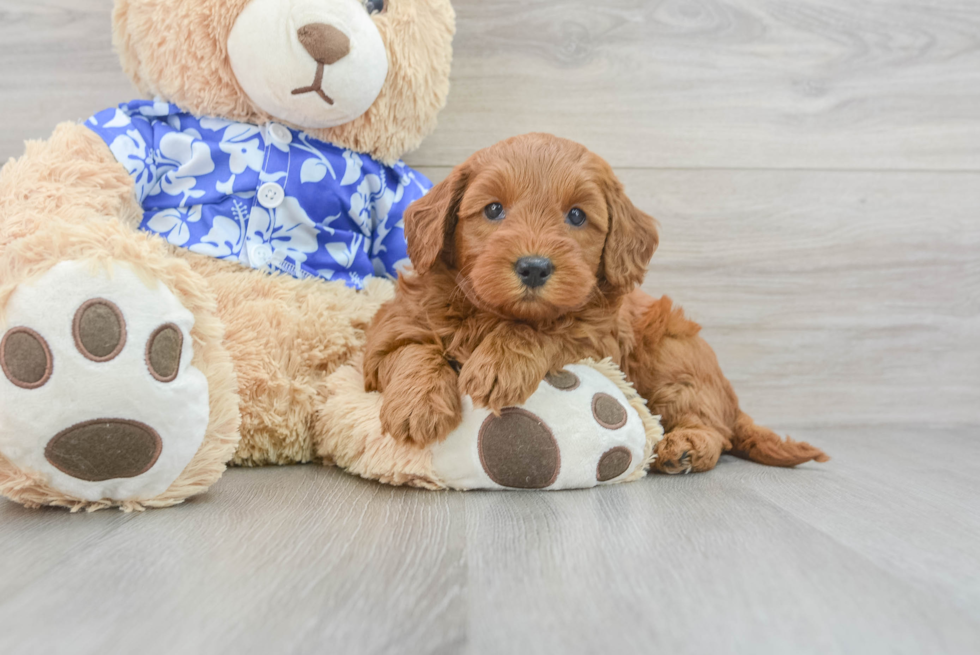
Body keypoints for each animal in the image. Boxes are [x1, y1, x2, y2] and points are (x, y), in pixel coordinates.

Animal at [364, 135, 832, 472]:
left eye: (576, 216)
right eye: (494, 209)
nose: (534, 268)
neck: (493, 313)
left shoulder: (598, 340)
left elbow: (547, 330)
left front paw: (499, 363)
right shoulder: (393, 328)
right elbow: (409, 351)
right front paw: (418, 405)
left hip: (673, 357)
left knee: (713, 425)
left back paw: (686, 447)